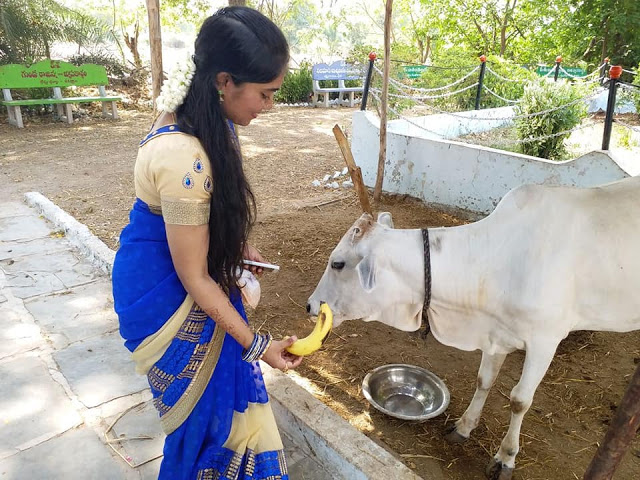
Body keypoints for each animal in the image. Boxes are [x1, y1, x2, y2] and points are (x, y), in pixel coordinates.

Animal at [307, 175, 640, 480]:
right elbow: (484, 380)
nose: (310, 306)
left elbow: (519, 400)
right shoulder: (496, 333)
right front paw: (464, 427)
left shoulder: (545, 340)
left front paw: (505, 457)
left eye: (338, 263)